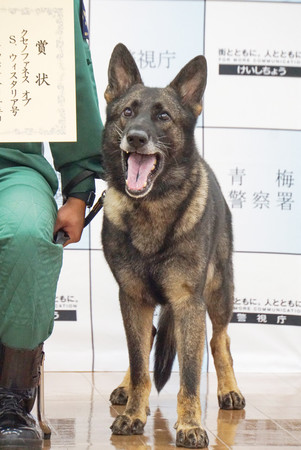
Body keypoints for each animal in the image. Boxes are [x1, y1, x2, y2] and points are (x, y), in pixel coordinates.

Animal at [101, 44, 244, 448]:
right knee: (146, 341)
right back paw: (126, 389)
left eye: (163, 116)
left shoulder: (188, 302)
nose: (135, 137)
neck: (152, 208)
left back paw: (229, 389)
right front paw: (134, 412)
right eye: (127, 112)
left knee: (220, 340)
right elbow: (139, 364)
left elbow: (191, 376)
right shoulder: (132, 298)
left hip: (218, 290)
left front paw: (191, 424)